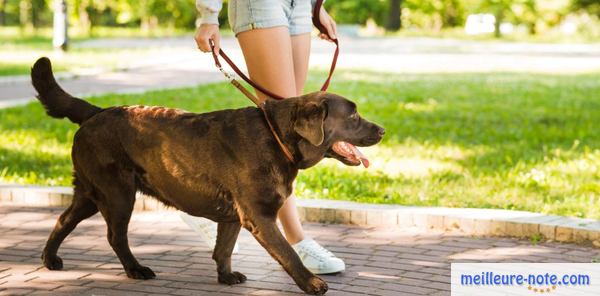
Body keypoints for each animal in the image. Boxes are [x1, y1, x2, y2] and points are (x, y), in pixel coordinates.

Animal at [30, 57, 384, 294]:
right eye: (353, 116)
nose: (382, 130)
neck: (277, 137)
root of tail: (97, 111)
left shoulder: (234, 215)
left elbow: (223, 248)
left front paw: (226, 276)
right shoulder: (260, 215)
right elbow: (287, 252)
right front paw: (311, 282)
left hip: (91, 193)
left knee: (63, 220)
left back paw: (50, 259)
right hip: (117, 194)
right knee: (115, 236)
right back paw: (135, 269)